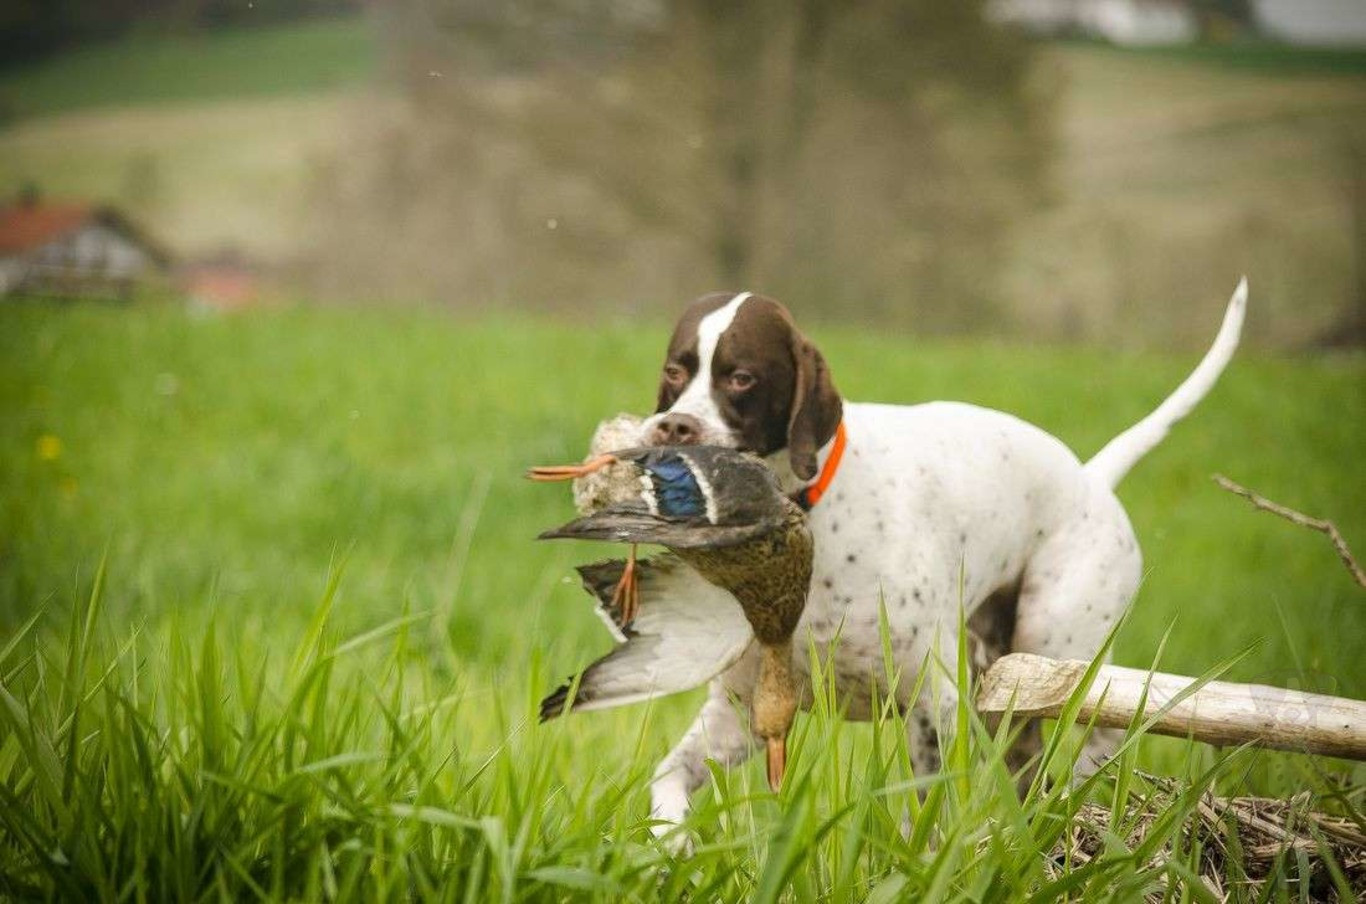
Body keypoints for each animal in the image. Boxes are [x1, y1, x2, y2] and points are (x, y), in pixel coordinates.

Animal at [633, 281, 1245, 835]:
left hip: (1058, 655)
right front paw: (672, 848)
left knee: (1101, 738)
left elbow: (921, 819)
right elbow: (666, 780)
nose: (675, 426)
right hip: (1005, 695)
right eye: (674, 372)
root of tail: (1090, 478)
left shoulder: (933, 705)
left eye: (742, 377)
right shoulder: (739, 712)